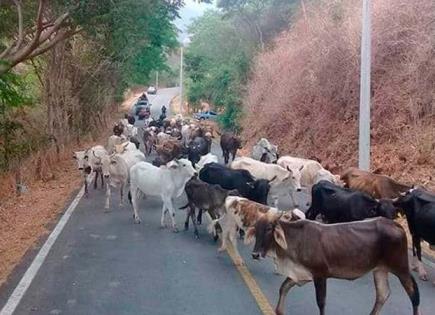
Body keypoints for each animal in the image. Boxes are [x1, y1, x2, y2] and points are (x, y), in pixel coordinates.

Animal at [249, 216, 422, 315]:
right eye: (256, 229)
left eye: (269, 229)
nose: (255, 254)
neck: (296, 239)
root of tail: (396, 224)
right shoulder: (300, 274)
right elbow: (283, 288)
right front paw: (279, 311)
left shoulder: (320, 275)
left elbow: (321, 302)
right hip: (380, 269)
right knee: (383, 294)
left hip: (400, 267)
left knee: (414, 295)